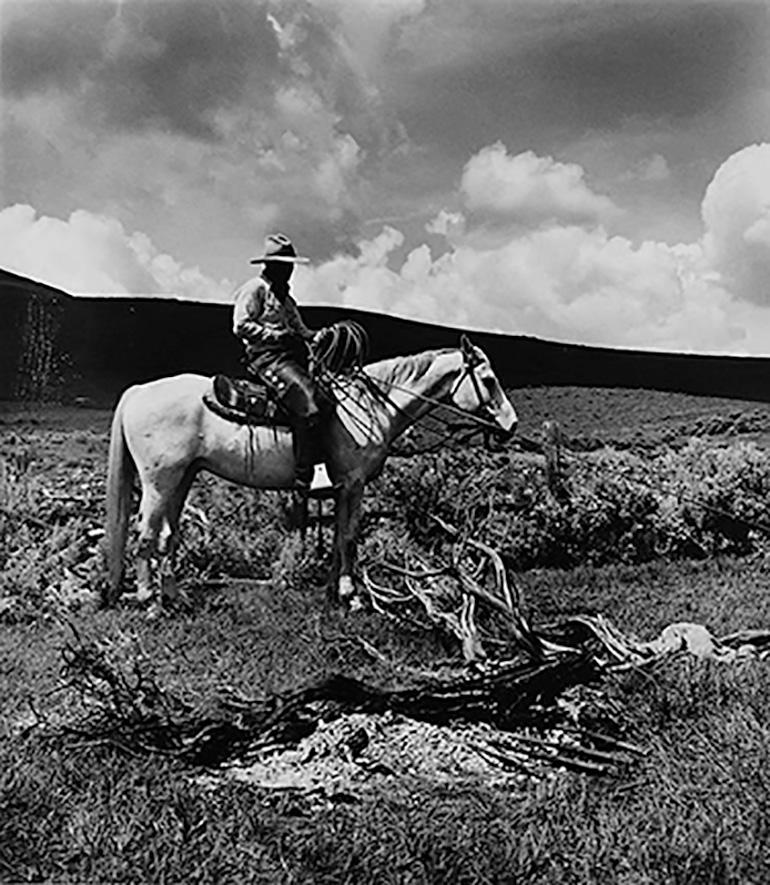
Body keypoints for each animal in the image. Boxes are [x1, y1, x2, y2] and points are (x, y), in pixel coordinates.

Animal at [103, 334, 516, 608]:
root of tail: (138, 391)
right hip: (158, 482)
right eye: (489, 380)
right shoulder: (353, 483)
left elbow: (337, 537)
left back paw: (173, 596)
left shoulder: (342, 488)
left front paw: (335, 590)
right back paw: (147, 600)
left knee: (166, 535)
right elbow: (349, 535)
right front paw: (351, 594)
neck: (367, 406)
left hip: (183, 477)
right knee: (144, 534)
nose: (511, 426)